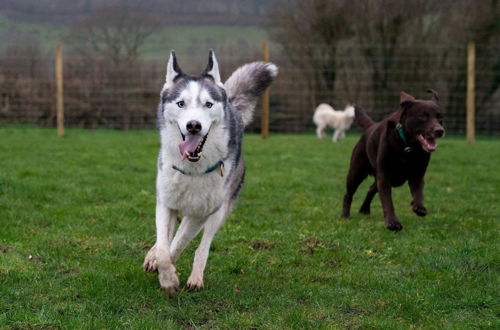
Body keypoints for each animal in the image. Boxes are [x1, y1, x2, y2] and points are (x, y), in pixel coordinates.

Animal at [143, 50, 278, 296]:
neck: (192, 170)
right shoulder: (165, 202)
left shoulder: (201, 212)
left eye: (208, 104)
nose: (193, 125)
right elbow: (164, 245)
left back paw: (195, 278)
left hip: (219, 209)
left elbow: (178, 244)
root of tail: (232, 105)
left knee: (202, 245)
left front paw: (169, 277)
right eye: (181, 103)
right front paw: (163, 270)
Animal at [342, 89, 444, 231]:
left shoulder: (417, 174)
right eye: (422, 116)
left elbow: (418, 192)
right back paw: (345, 215)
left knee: (371, 189)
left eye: (440, 118)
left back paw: (364, 209)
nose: (440, 131)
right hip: (356, 172)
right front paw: (392, 223)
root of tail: (370, 127)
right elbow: (387, 201)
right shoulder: (384, 176)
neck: (408, 148)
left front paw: (418, 206)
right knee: (349, 194)